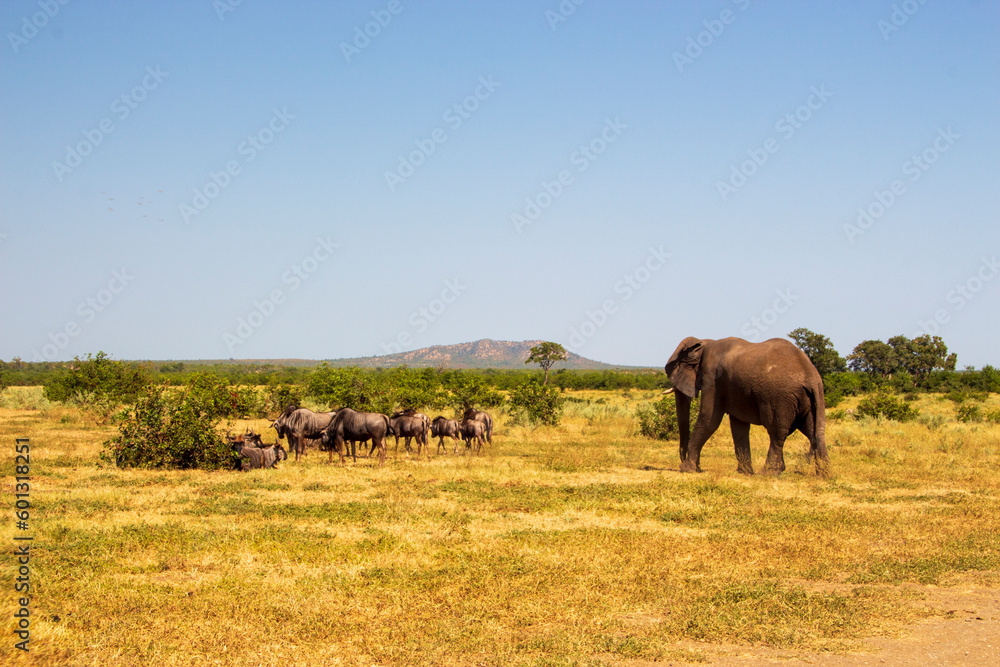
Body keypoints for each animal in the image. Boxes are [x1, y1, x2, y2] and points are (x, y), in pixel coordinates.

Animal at [664, 340, 828, 474]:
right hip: (811, 398)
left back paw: (769, 472)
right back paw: (824, 474)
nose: (683, 460)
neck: (704, 343)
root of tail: (810, 375)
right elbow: (739, 426)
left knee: (776, 432)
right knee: (815, 432)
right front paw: (744, 472)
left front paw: (687, 469)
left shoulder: (713, 377)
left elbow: (709, 419)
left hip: (781, 397)